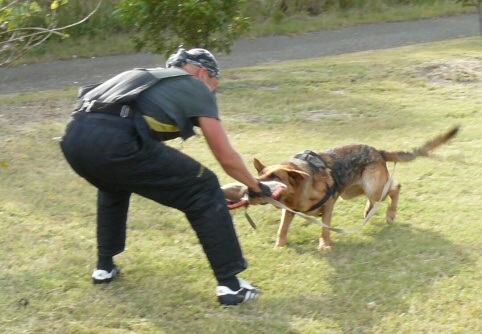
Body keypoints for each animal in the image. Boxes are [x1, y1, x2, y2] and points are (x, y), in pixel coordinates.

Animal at [252, 128, 460, 250]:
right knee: (378, 196)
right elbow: (282, 228)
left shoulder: (328, 206)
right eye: (259, 177)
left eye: (275, 177)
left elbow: (325, 229)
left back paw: (390, 213)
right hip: (353, 191)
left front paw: (325, 245)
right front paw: (280, 245)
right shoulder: (289, 211)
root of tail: (378, 151)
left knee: (395, 187)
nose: (252, 190)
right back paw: (369, 211)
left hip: (372, 186)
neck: (302, 184)